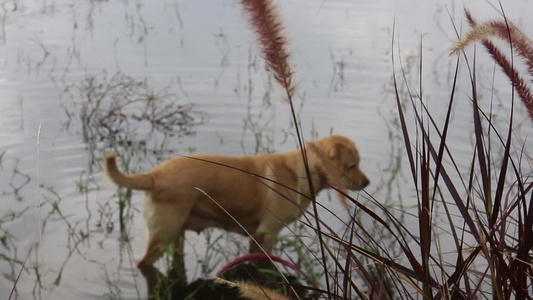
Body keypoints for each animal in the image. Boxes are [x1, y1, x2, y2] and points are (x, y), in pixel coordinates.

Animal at [105, 135, 368, 270]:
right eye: (351, 165)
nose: (367, 182)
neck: (300, 171)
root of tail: (154, 175)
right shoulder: (266, 234)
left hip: (176, 234)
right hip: (163, 234)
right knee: (143, 263)